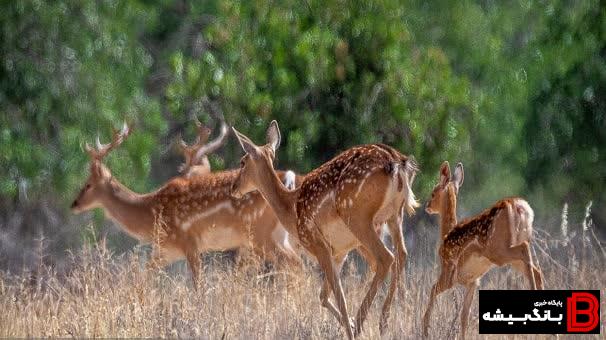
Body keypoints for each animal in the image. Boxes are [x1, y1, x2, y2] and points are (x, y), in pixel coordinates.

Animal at [72, 122, 302, 286]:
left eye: (88, 184)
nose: (74, 204)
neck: (151, 213)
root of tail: (290, 178)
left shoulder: (189, 241)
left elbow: (198, 284)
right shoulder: (165, 251)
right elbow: (143, 278)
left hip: (261, 234)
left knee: (293, 264)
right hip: (275, 237)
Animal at [230, 120, 420, 338]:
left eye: (242, 162)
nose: (233, 187)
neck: (291, 209)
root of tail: (397, 162)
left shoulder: (316, 243)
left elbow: (338, 294)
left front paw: (350, 327)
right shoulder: (339, 251)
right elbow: (323, 295)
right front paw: (350, 324)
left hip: (357, 215)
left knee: (386, 257)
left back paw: (363, 322)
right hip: (395, 215)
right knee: (402, 254)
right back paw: (383, 321)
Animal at [422, 161, 548, 338]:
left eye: (433, 193)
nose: (427, 206)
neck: (447, 233)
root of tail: (517, 206)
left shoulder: (449, 271)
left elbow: (433, 289)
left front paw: (425, 329)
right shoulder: (473, 281)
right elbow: (464, 317)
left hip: (497, 250)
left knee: (525, 250)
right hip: (511, 253)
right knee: (537, 270)